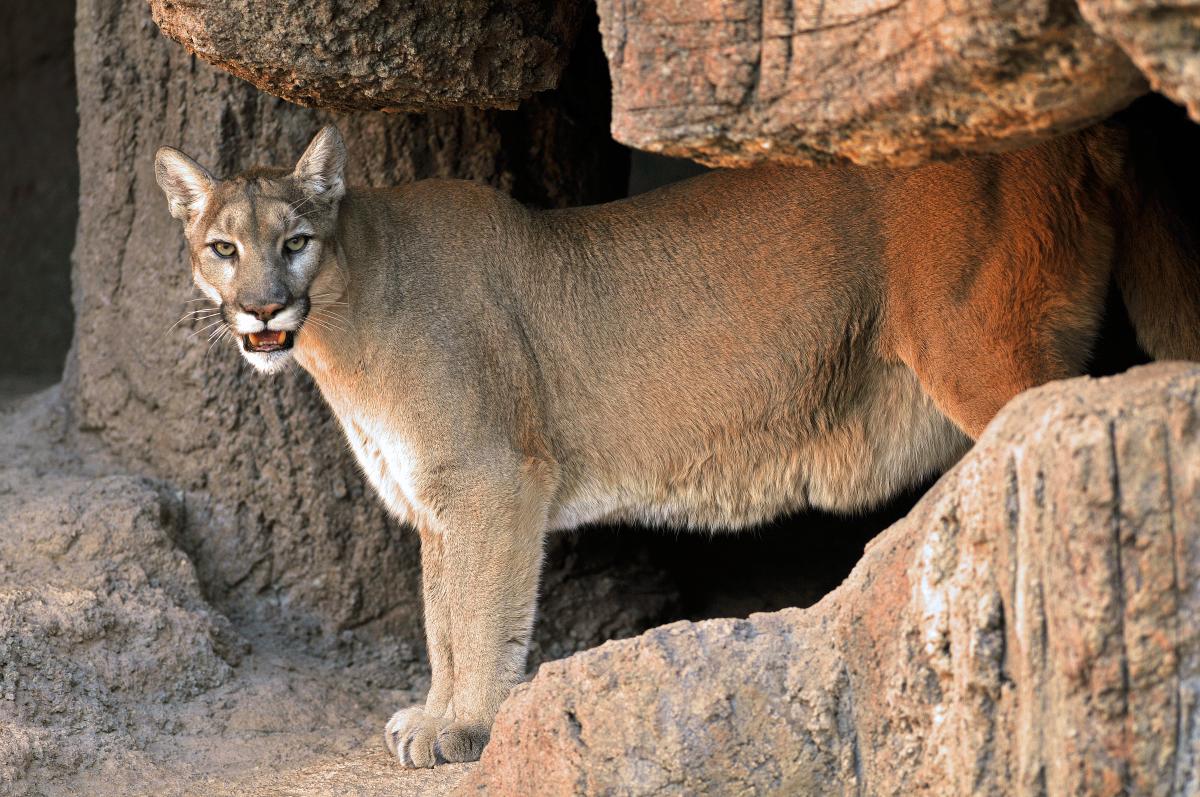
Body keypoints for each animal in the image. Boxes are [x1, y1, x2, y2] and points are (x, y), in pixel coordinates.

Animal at [154, 120, 1200, 768]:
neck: (345, 316)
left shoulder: (493, 480)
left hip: (980, 343)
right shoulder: (439, 501)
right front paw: (439, 714)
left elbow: (479, 615)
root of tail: (1075, 127)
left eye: (294, 241)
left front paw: (466, 727)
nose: (261, 308)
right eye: (222, 248)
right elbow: (443, 617)